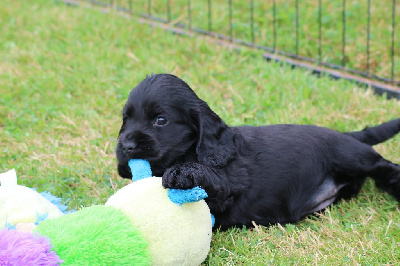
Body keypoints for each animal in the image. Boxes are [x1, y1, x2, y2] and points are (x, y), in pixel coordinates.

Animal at [116, 74, 400, 230]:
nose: (126, 147)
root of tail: (345, 134)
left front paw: (183, 173)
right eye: (126, 119)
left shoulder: (228, 187)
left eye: (160, 120)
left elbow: (213, 181)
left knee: (382, 166)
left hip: (349, 155)